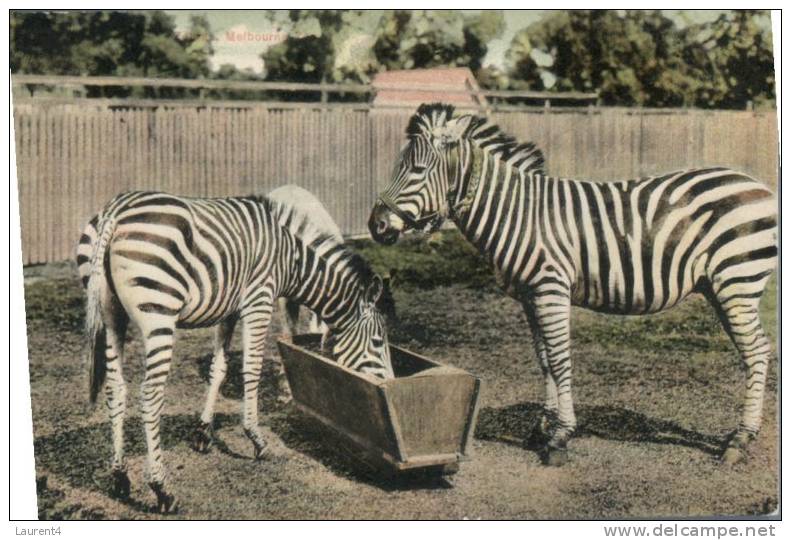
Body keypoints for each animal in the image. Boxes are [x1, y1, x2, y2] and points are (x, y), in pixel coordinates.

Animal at [77, 191, 392, 516]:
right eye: (379, 341)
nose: (390, 384)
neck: (290, 259)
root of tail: (116, 211)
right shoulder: (259, 301)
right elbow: (251, 369)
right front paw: (256, 439)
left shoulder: (227, 310)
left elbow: (219, 369)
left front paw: (203, 432)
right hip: (158, 312)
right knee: (150, 394)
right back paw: (162, 489)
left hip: (111, 315)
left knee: (116, 388)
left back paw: (120, 476)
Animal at [372, 103, 780, 466]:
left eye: (417, 169)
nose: (375, 225)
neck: (516, 213)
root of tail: (757, 185)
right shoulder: (529, 296)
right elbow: (544, 359)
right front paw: (542, 426)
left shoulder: (551, 289)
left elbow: (560, 357)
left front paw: (560, 436)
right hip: (720, 288)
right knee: (753, 350)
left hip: (737, 282)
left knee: (757, 350)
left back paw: (740, 440)